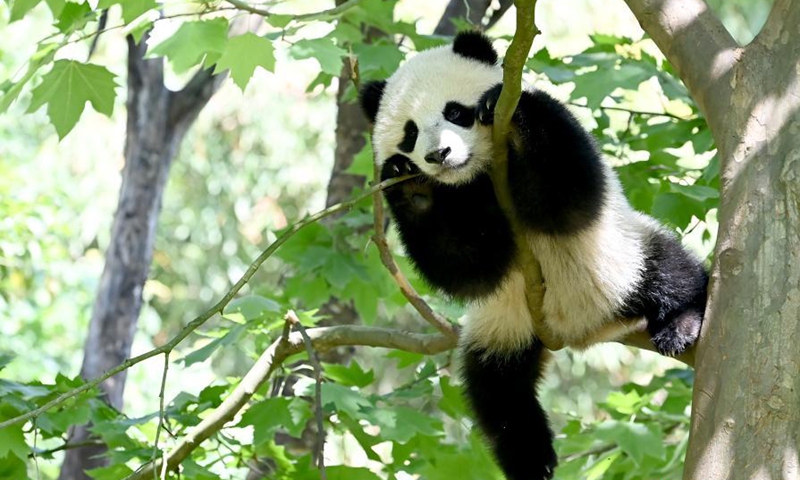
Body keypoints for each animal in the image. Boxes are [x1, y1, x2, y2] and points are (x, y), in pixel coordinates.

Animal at [359, 31, 708, 480]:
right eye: (410, 134)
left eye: (455, 112)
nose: (438, 156)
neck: (477, 177)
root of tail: (581, 330)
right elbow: (467, 268)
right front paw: (411, 186)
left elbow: (564, 195)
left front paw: (505, 106)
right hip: (504, 328)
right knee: (501, 397)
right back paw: (531, 461)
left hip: (620, 254)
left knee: (671, 271)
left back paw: (681, 322)